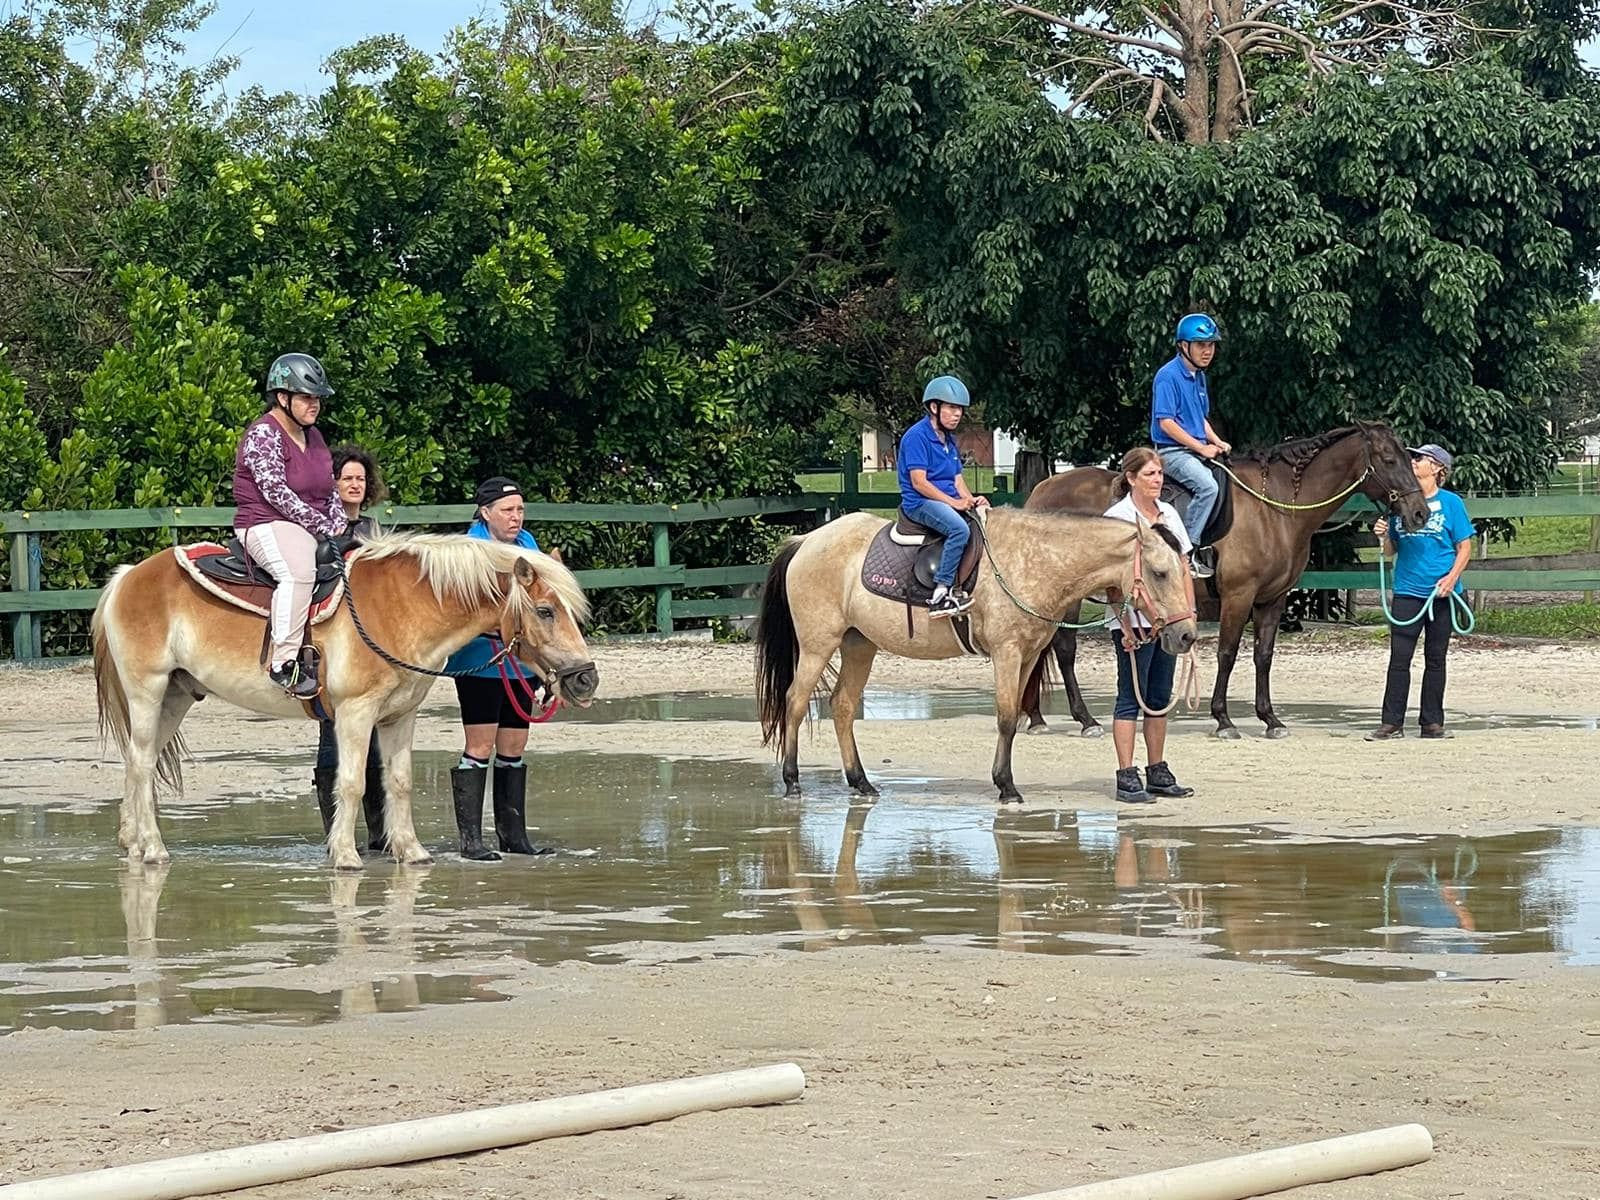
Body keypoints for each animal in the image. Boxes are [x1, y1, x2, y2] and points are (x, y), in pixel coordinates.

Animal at [91, 531, 598, 870]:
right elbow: (351, 782)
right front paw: (346, 855)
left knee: (140, 762)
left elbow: (399, 781)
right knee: (141, 763)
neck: (403, 607)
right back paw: (154, 848)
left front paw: (410, 851)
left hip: (176, 697)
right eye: (545, 611)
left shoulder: (400, 716)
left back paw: (132, 841)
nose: (586, 679)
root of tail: (128, 577)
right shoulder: (356, 712)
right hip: (148, 691)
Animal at [754, 507, 1198, 803]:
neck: (1036, 561)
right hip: (818, 645)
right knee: (795, 702)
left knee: (843, 706)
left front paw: (1005, 780)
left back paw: (860, 781)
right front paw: (1006, 786)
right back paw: (792, 780)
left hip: (859, 645)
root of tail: (807, 541)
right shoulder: (1007, 653)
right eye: (1159, 572)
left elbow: (1014, 717)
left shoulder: (1027, 656)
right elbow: (1005, 717)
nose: (1186, 635)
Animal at [1021, 422, 1430, 739]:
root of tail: (1044, 489)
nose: (1420, 513)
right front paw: (1223, 719)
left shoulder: (1272, 599)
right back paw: (1085, 719)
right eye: (1389, 460)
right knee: (1064, 649)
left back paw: (1038, 717)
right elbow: (1228, 653)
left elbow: (1264, 656)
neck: (1275, 508)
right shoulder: (1238, 596)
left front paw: (1270, 719)